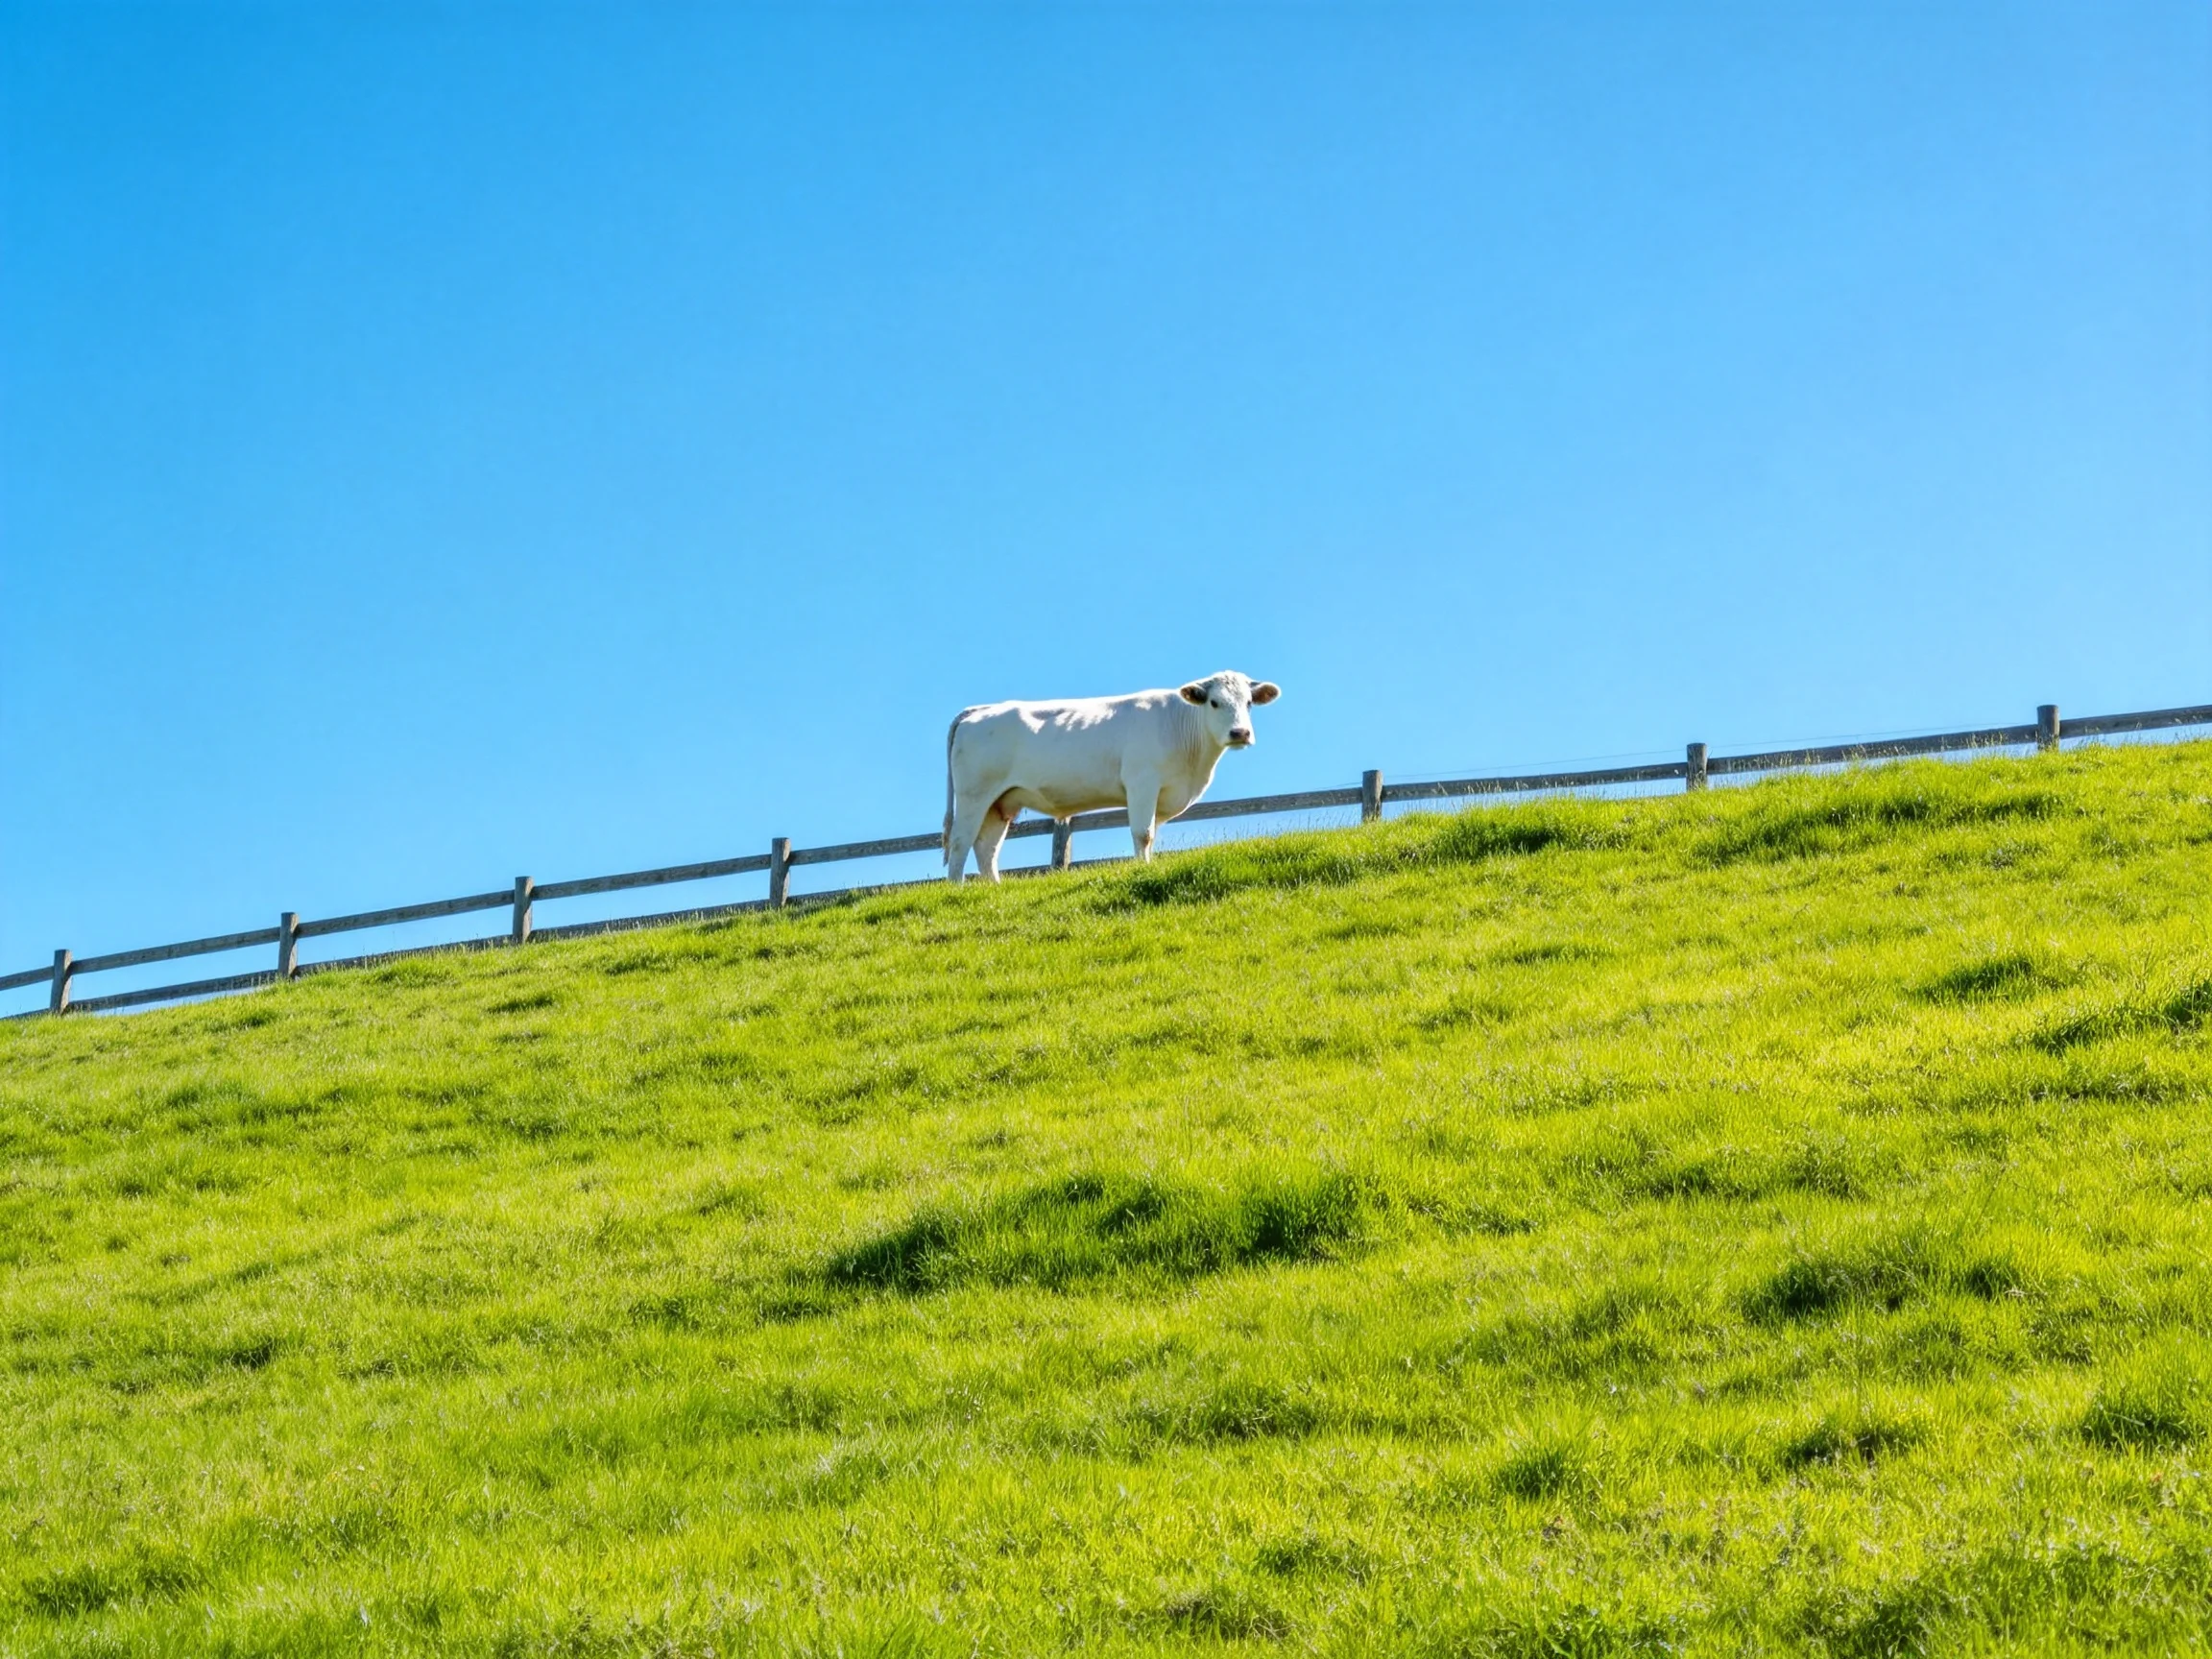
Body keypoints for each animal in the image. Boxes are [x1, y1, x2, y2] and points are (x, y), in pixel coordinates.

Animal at [942, 671, 1283, 882]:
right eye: (1214, 702)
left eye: (1249, 703)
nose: (1240, 733)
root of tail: (979, 710)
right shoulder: (1142, 783)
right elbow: (1143, 834)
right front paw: (1142, 868)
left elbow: (1152, 836)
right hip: (974, 795)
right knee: (961, 842)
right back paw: (958, 888)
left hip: (1001, 801)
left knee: (987, 848)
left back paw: (993, 889)